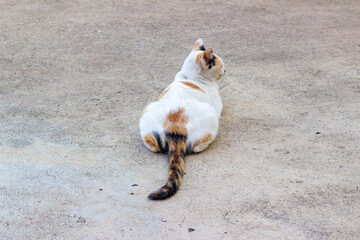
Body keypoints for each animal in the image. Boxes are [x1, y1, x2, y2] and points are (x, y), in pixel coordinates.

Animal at [140, 39, 226, 201]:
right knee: (196, 146)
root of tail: (174, 126)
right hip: (211, 116)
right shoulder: (218, 105)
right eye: (221, 65)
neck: (189, 77)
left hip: (148, 110)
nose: (226, 70)